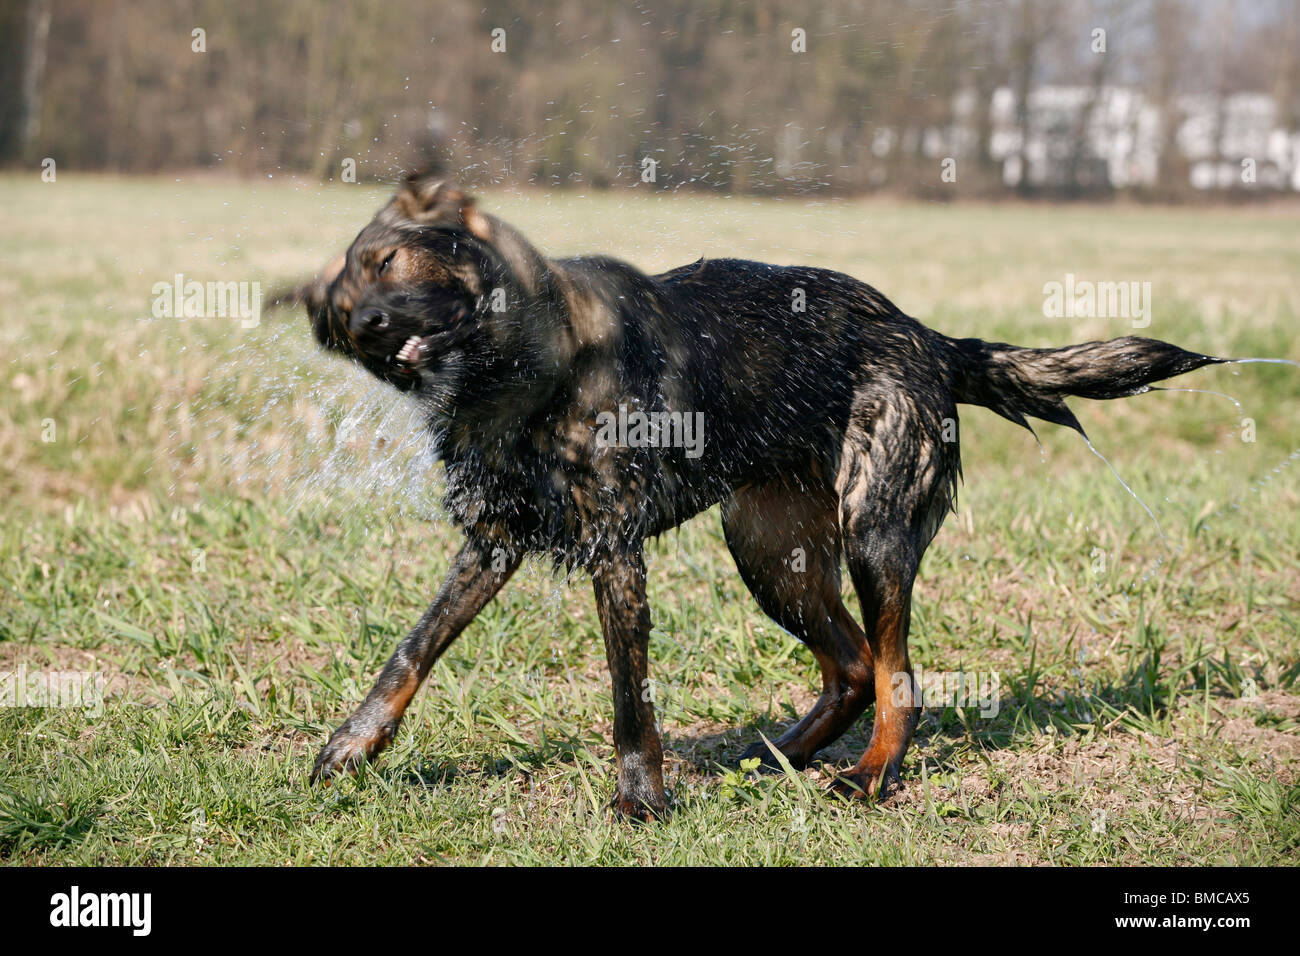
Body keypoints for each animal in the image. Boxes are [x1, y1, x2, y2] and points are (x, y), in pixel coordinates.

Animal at [297, 170, 1227, 816]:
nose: (364, 327)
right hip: (769, 552)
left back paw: (869, 777)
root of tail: (927, 335)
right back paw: (772, 758)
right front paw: (352, 747)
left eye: (389, 262)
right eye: (342, 303)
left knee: (899, 679)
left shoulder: (614, 550)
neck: (518, 377)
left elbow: (629, 699)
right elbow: (412, 650)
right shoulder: (493, 540)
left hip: (872, 535)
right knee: (852, 668)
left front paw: (641, 800)